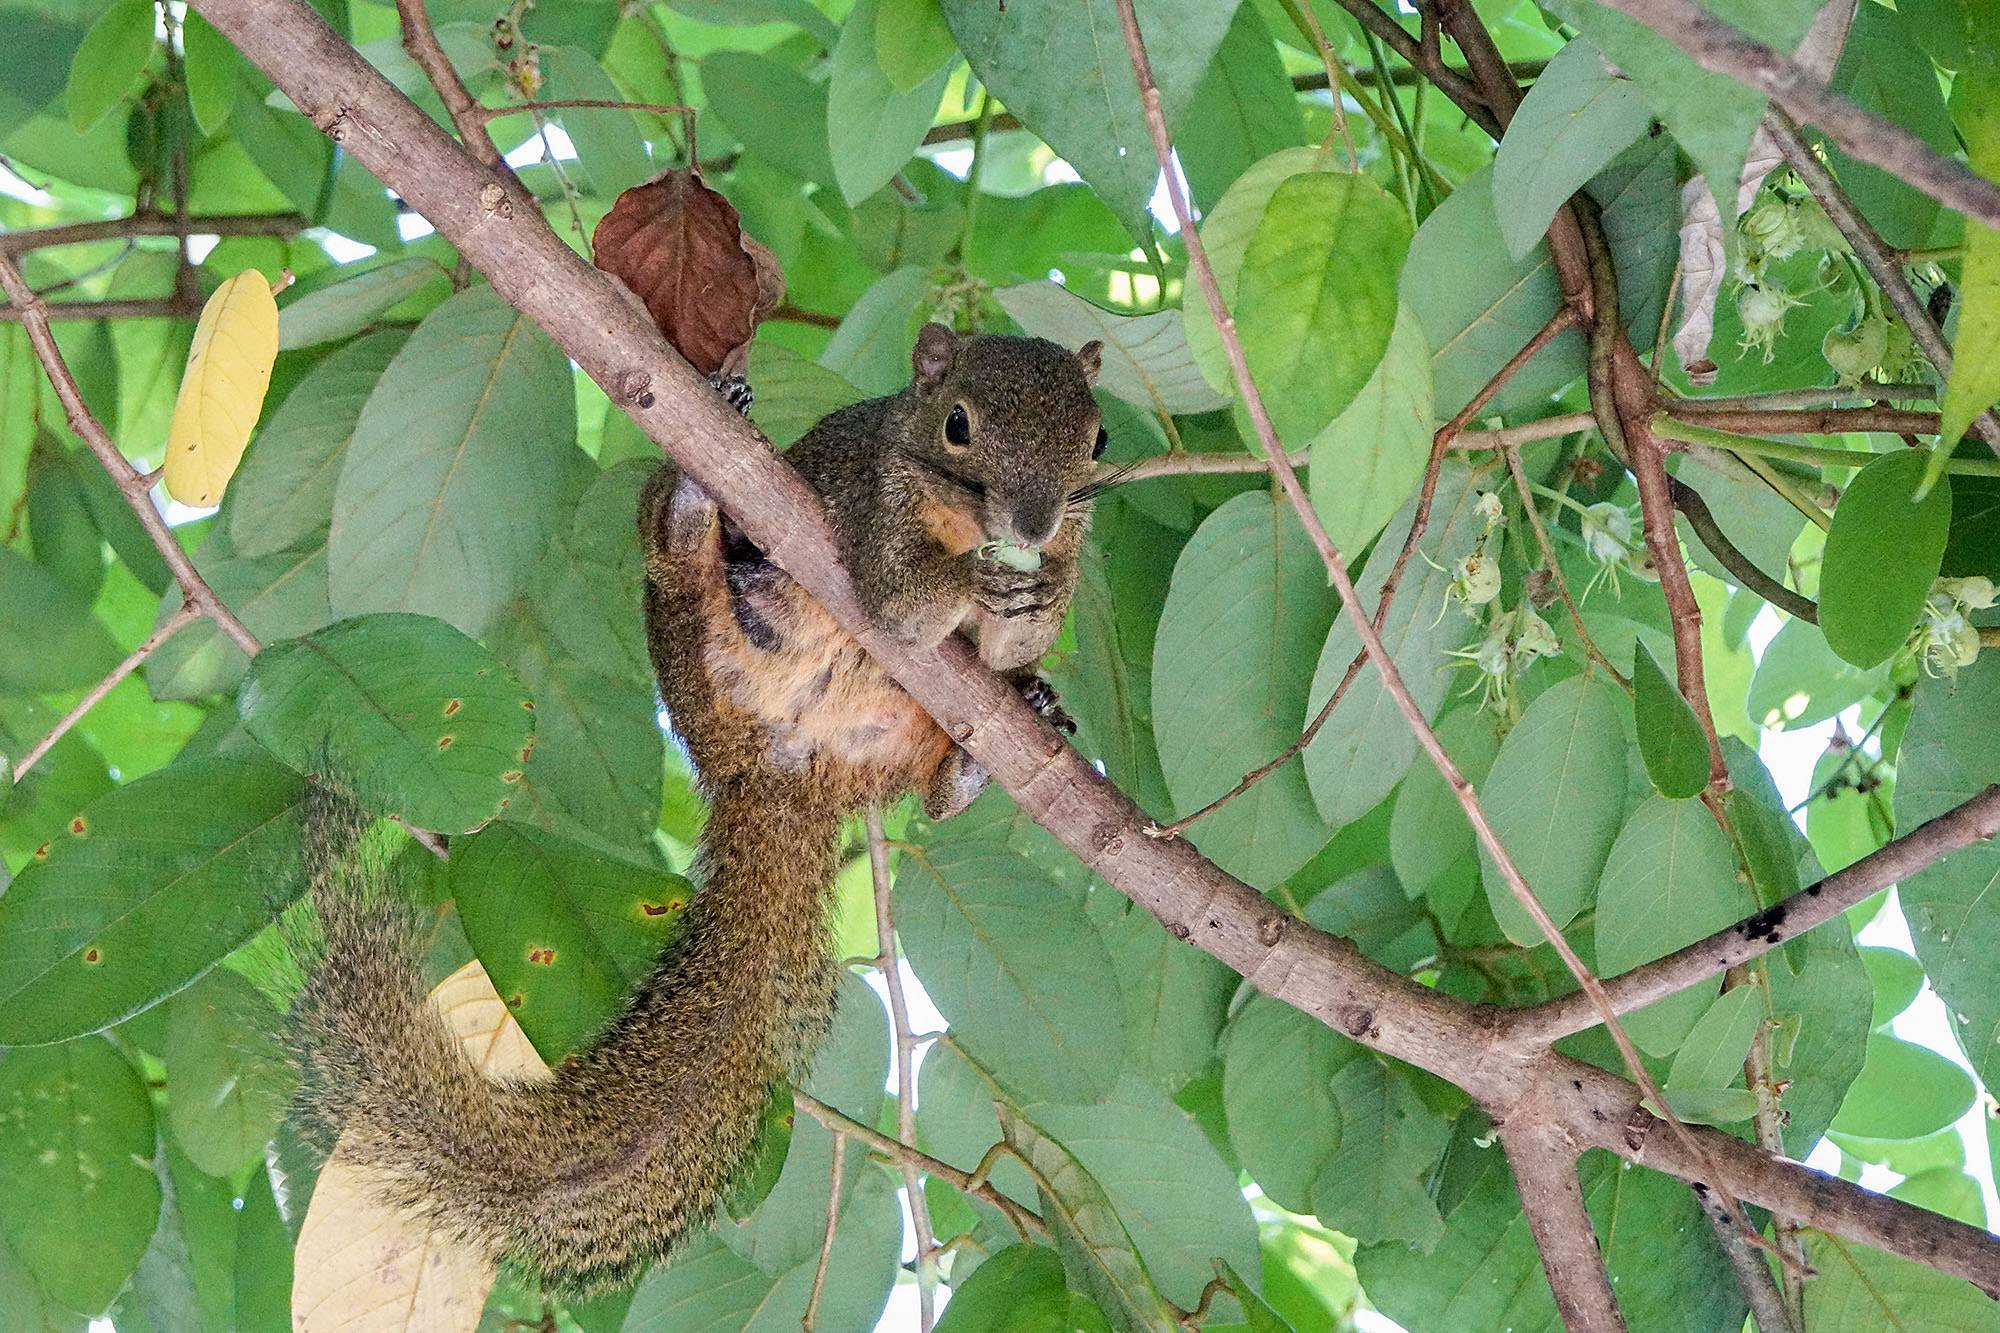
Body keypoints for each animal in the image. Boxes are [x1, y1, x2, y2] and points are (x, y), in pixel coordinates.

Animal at [296, 322, 1112, 1288]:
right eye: (958, 425)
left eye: (1097, 439)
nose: (1033, 527)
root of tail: (778, 769)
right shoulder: (867, 516)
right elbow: (901, 606)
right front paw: (976, 583)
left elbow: (1015, 637)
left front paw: (1039, 600)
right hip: (689, 633)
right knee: (681, 554)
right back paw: (690, 505)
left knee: (940, 784)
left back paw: (983, 758)